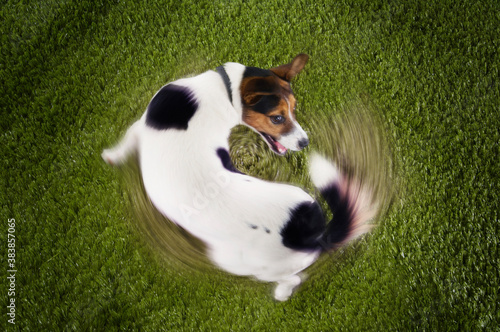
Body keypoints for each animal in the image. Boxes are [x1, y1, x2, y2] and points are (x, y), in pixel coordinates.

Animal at [100, 53, 376, 300]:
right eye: (278, 117)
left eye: (294, 110)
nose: (305, 142)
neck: (224, 91)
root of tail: (313, 233)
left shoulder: (140, 126)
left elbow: (125, 142)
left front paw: (110, 156)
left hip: (240, 263)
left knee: (292, 279)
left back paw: (281, 294)